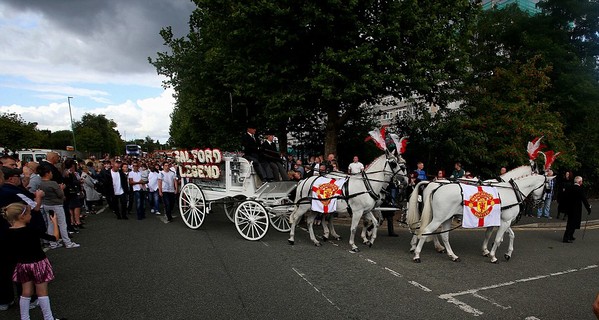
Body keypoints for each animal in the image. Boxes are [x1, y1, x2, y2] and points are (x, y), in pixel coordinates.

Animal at [412, 169, 548, 262]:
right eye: (547, 188)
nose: (540, 203)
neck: (511, 191)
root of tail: (435, 187)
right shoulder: (505, 221)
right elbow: (498, 238)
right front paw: (492, 255)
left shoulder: (501, 220)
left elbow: (505, 235)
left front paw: (504, 253)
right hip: (439, 218)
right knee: (426, 230)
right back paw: (417, 254)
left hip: (445, 217)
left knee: (442, 235)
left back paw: (451, 255)